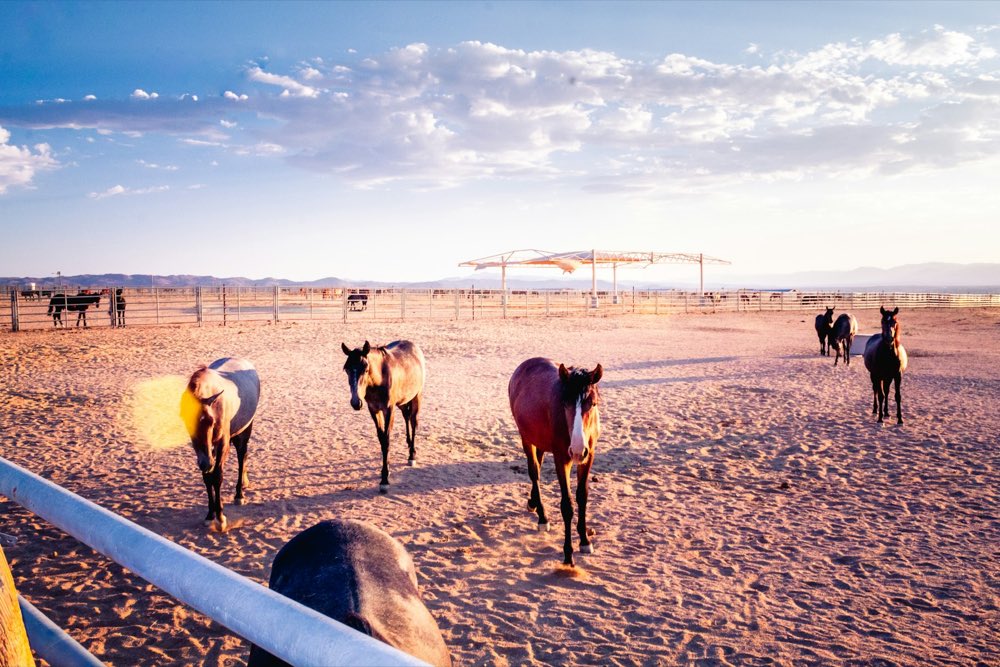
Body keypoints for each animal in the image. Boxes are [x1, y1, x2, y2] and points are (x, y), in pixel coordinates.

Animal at [179, 358, 260, 530]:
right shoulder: (204, 452)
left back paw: (239, 495)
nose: (206, 463)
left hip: (244, 430)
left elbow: (217, 476)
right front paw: (210, 515)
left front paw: (221, 517)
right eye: (186, 419)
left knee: (242, 456)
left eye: (209, 420)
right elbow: (207, 477)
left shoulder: (222, 443)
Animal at [342, 340, 425, 493]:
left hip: (417, 397)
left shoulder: (389, 410)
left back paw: (412, 454)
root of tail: (414, 346)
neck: (380, 378)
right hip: (403, 402)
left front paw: (385, 479)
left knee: (413, 422)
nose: (356, 402)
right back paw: (409, 444)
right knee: (406, 416)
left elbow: (386, 440)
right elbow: (381, 439)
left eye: (366, 369)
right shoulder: (374, 410)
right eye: (346, 369)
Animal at [509, 357, 603, 566]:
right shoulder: (562, 459)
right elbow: (567, 505)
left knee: (539, 463)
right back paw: (542, 517)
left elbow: (582, 496)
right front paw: (568, 554)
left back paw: (533, 502)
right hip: (526, 438)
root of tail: (525, 364)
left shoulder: (589, 456)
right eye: (565, 403)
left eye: (592, 404)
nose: (577, 450)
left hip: (540, 441)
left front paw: (585, 540)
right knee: (534, 471)